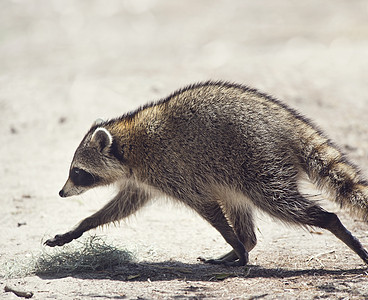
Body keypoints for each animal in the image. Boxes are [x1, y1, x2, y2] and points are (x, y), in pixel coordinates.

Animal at [45, 81, 368, 266]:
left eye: (77, 172)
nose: (61, 192)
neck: (128, 139)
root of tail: (288, 122)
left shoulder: (171, 169)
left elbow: (207, 207)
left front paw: (234, 243)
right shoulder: (143, 179)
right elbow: (124, 205)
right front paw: (81, 226)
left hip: (260, 163)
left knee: (283, 203)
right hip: (240, 173)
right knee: (240, 205)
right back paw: (242, 244)